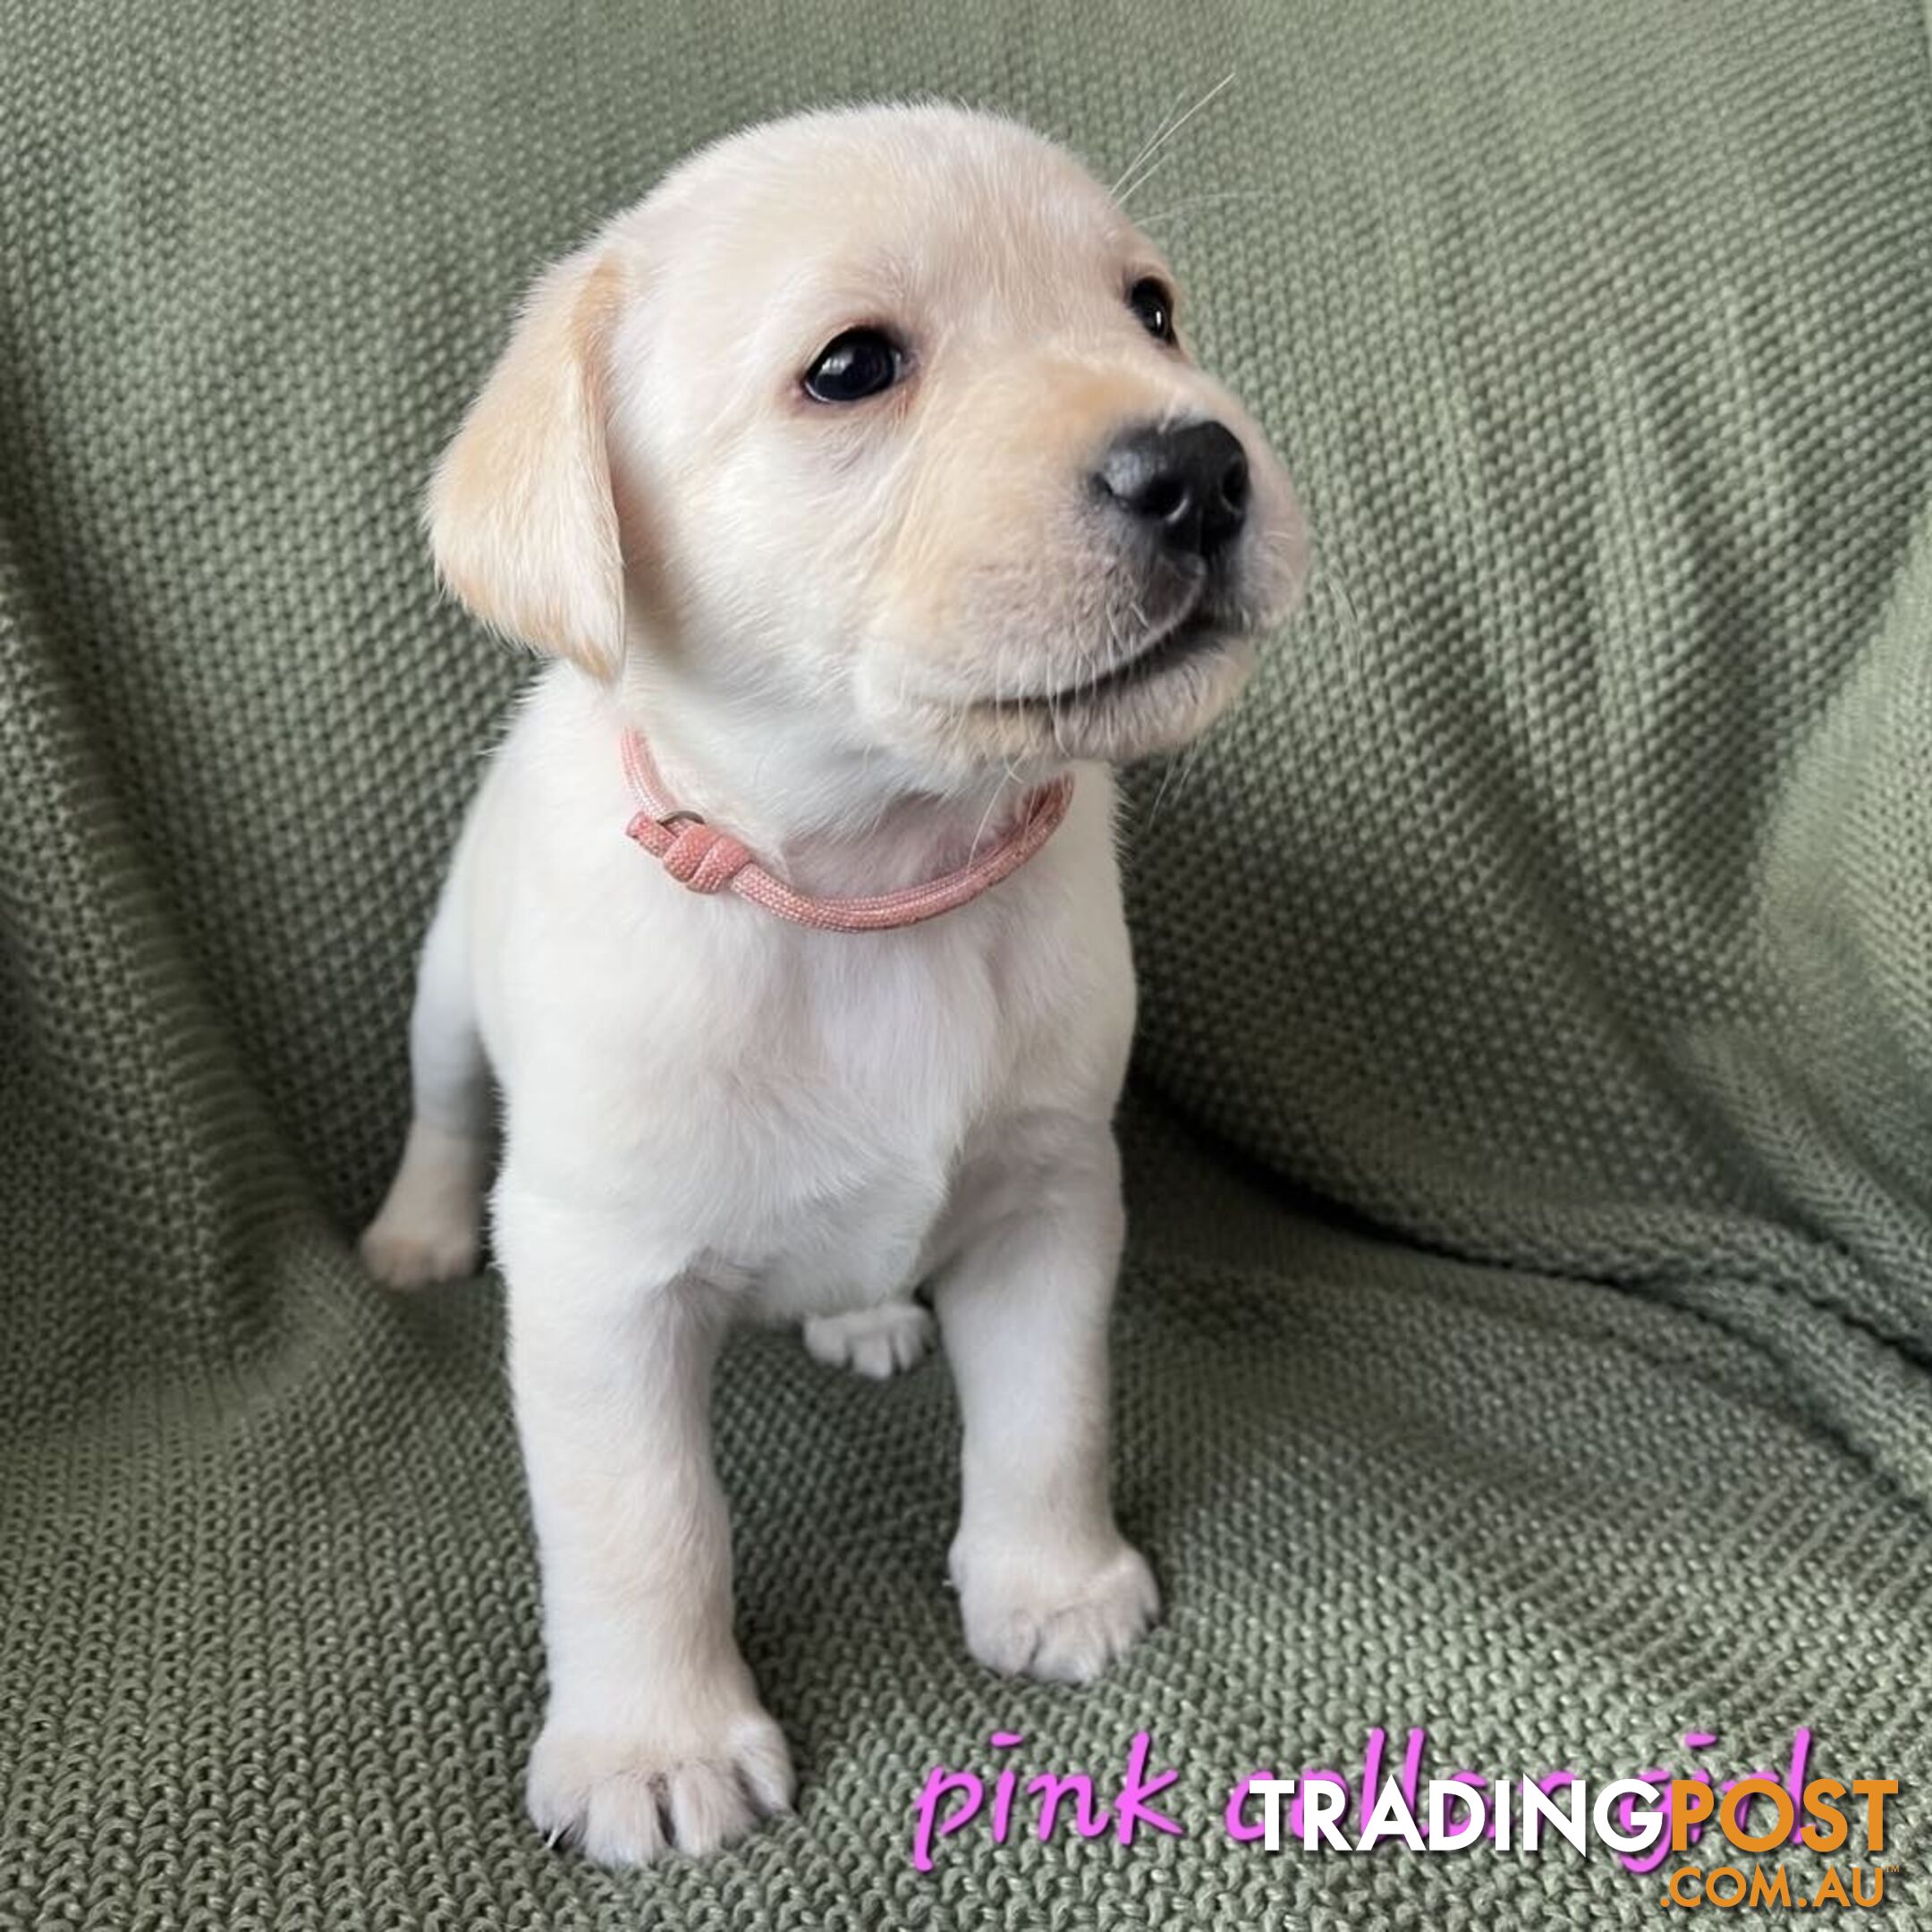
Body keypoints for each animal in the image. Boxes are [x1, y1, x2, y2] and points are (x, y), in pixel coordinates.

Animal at [363, 101, 1298, 1854]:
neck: (875, 882)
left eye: (1150, 310)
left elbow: (1050, 1420)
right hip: (448, 997)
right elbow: (646, 1528)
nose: (1201, 467)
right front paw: (654, 1748)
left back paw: (863, 1315)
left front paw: (1051, 1586)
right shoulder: (596, 1283)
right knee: (445, 1110)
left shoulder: (1051, 1199)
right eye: (856, 367)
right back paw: (417, 1230)